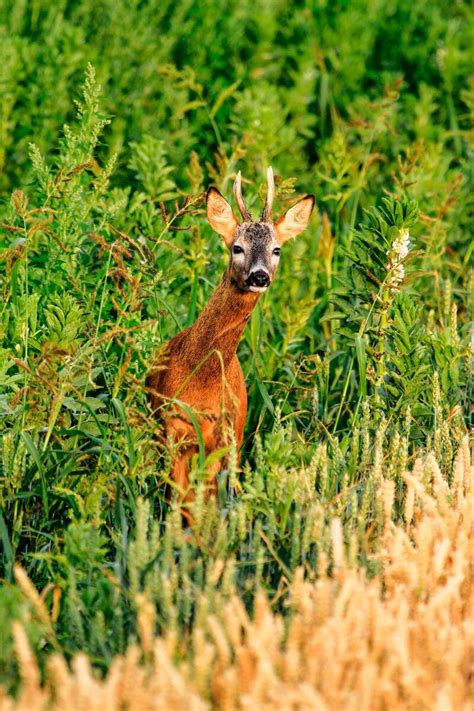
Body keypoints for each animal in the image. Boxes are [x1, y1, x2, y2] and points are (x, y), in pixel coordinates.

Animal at [146, 170, 312, 516]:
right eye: (237, 247)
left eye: (277, 250)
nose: (260, 276)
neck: (202, 383)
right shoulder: (174, 430)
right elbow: (179, 501)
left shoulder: (228, 436)